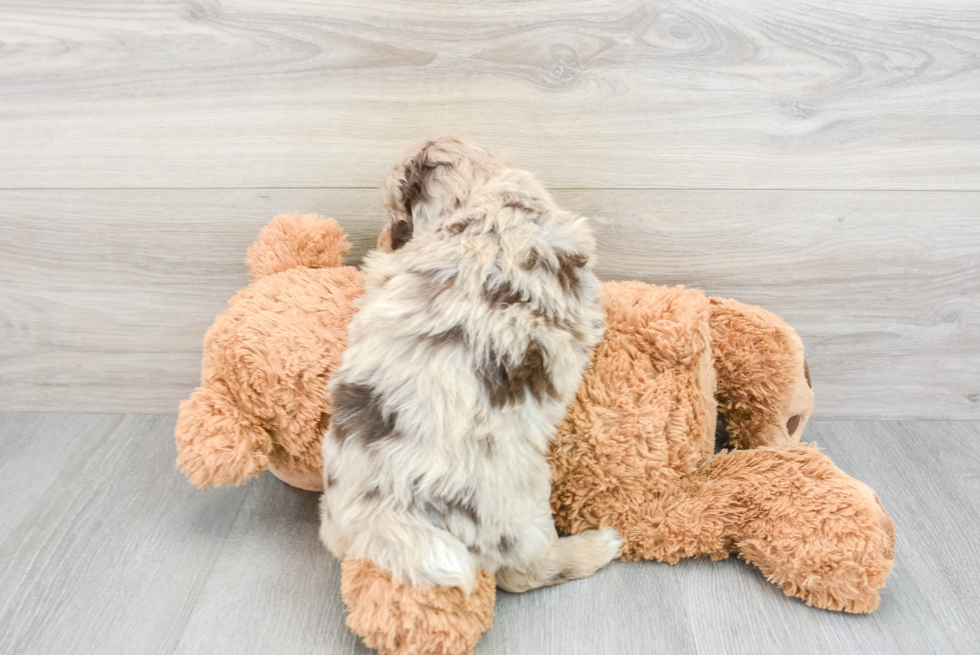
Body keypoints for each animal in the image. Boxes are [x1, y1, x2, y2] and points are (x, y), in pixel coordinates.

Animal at [320, 137, 620, 596]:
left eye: (394, 212)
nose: (386, 236)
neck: (481, 200)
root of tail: (392, 514)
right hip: (522, 507)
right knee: (528, 572)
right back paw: (597, 546)